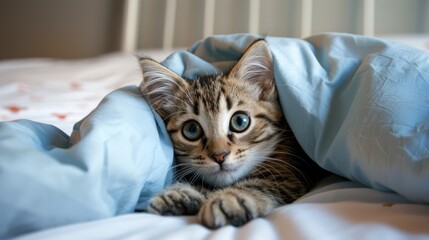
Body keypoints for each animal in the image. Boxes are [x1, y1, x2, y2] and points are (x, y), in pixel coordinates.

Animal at [139, 39, 322, 229]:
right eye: (191, 130)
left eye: (240, 121)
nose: (219, 156)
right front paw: (181, 192)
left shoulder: (292, 174)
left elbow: (262, 183)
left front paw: (230, 198)